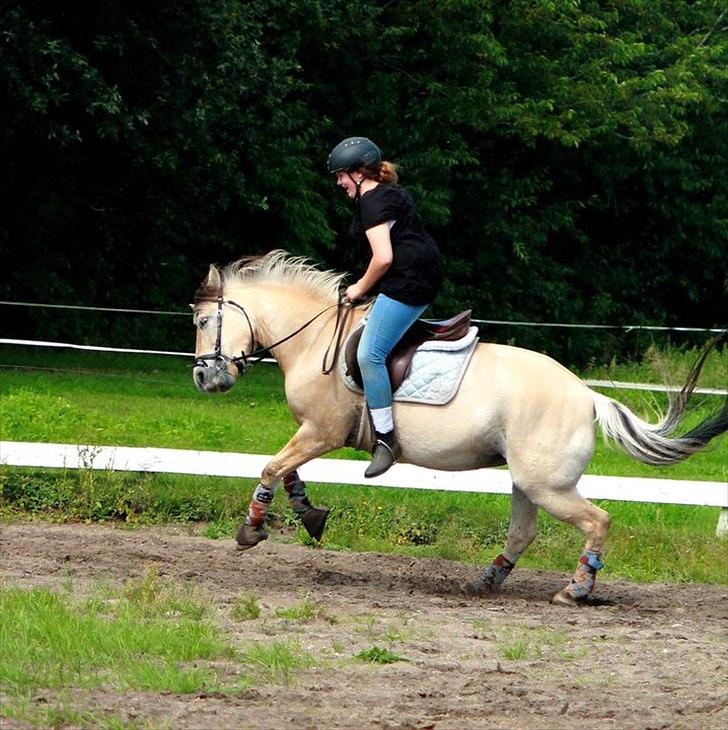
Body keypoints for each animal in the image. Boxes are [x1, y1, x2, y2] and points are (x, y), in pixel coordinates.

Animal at [192, 250, 728, 607]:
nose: (202, 377)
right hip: (527, 481)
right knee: (523, 532)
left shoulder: (321, 431)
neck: (314, 337)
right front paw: (308, 513)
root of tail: (587, 396)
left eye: (200, 321)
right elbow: (288, 472)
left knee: (598, 522)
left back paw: (575, 589)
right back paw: (487, 582)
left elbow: (271, 467)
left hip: (546, 483)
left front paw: (251, 529)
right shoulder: (313, 433)